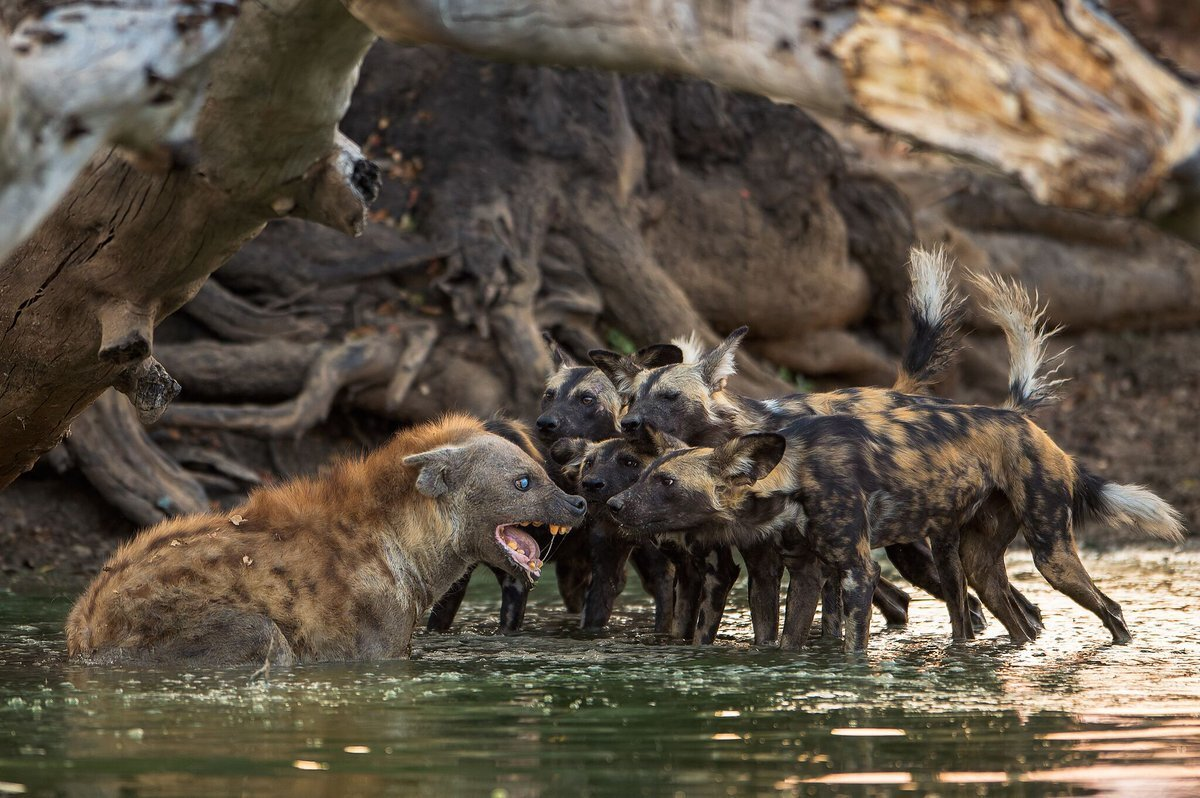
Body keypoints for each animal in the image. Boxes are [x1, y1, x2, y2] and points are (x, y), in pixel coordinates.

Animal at [69, 412, 585, 662]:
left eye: (543, 473)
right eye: (522, 483)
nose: (578, 503)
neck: (404, 547)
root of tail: (85, 627)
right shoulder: (376, 643)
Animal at [609, 400, 1180, 652]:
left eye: (667, 483)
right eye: (645, 474)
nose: (612, 505)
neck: (794, 477)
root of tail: (1042, 434)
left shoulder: (856, 572)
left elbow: (853, 645)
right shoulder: (806, 573)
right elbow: (788, 641)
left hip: (1052, 557)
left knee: (1111, 609)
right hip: (974, 565)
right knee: (1013, 620)